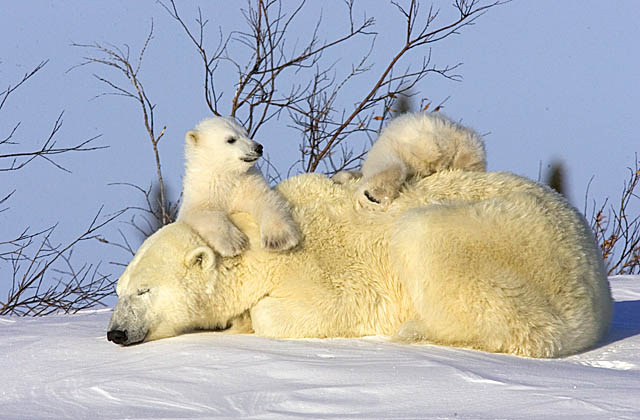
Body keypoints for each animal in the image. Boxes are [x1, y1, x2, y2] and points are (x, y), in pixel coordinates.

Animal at [107, 171, 612, 358]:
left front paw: (246, 318)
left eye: (144, 291)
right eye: (120, 290)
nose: (115, 332)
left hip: (505, 242)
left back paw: (417, 329)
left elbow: (318, 307)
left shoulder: (327, 270)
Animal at [176, 116, 302, 258]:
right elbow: (202, 213)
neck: (227, 176)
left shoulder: (247, 184)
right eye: (231, 139)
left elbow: (265, 200)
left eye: (246, 134)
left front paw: (278, 239)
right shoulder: (203, 193)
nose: (258, 147)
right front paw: (236, 243)